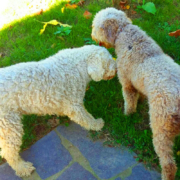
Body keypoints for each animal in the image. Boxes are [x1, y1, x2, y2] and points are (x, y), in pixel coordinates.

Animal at [0, 44, 116, 176]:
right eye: (109, 61)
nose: (116, 68)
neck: (79, 65)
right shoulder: (74, 105)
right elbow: (86, 118)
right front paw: (96, 124)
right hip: (9, 125)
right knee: (8, 152)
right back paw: (22, 168)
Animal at [92, 7, 180, 180]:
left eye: (95, 26)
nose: (92, 35)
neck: (125, 33)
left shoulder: (127, 82)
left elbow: (130, 100)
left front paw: (128, 114)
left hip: (161, 130)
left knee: (169, 164)